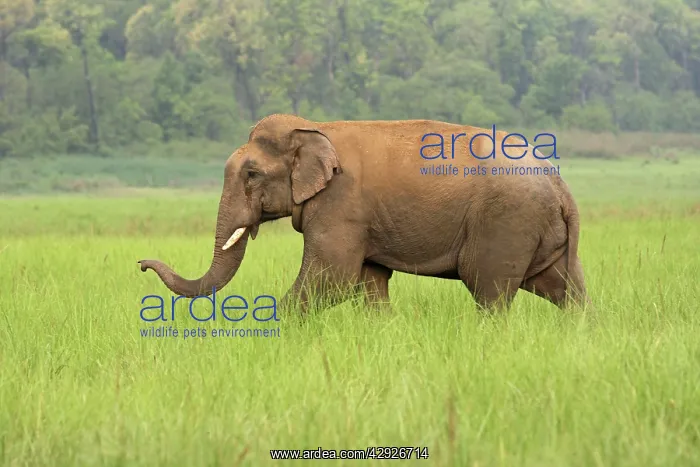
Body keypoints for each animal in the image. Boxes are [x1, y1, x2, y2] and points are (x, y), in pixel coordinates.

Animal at [139, 113, 589, 313]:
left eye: (251, 174)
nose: (141, 264)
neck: (314, 127)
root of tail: (562, 186)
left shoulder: (341, 206)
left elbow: (331, 278)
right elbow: (369, 282)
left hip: (507, 222)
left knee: (490, 291)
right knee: (565, 289)